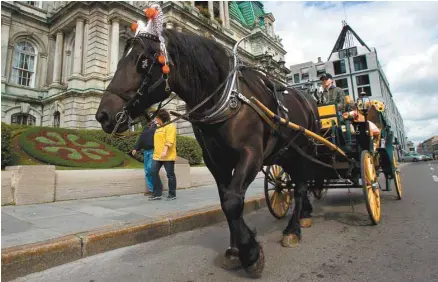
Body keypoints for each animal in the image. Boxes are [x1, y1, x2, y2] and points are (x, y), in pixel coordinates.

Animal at [96, 29, 320, 278]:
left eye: (143, 61)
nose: (103, 115)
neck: (224, 99)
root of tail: (307, 98)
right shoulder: (215, 161)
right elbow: (226, 201)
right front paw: (235, 250)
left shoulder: (251, 154)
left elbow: (233, 201)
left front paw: (251, 253)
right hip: (287, 155)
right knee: (295, 184)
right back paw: (304, 215)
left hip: (303, 153)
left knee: (300, 188)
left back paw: (293, 229)